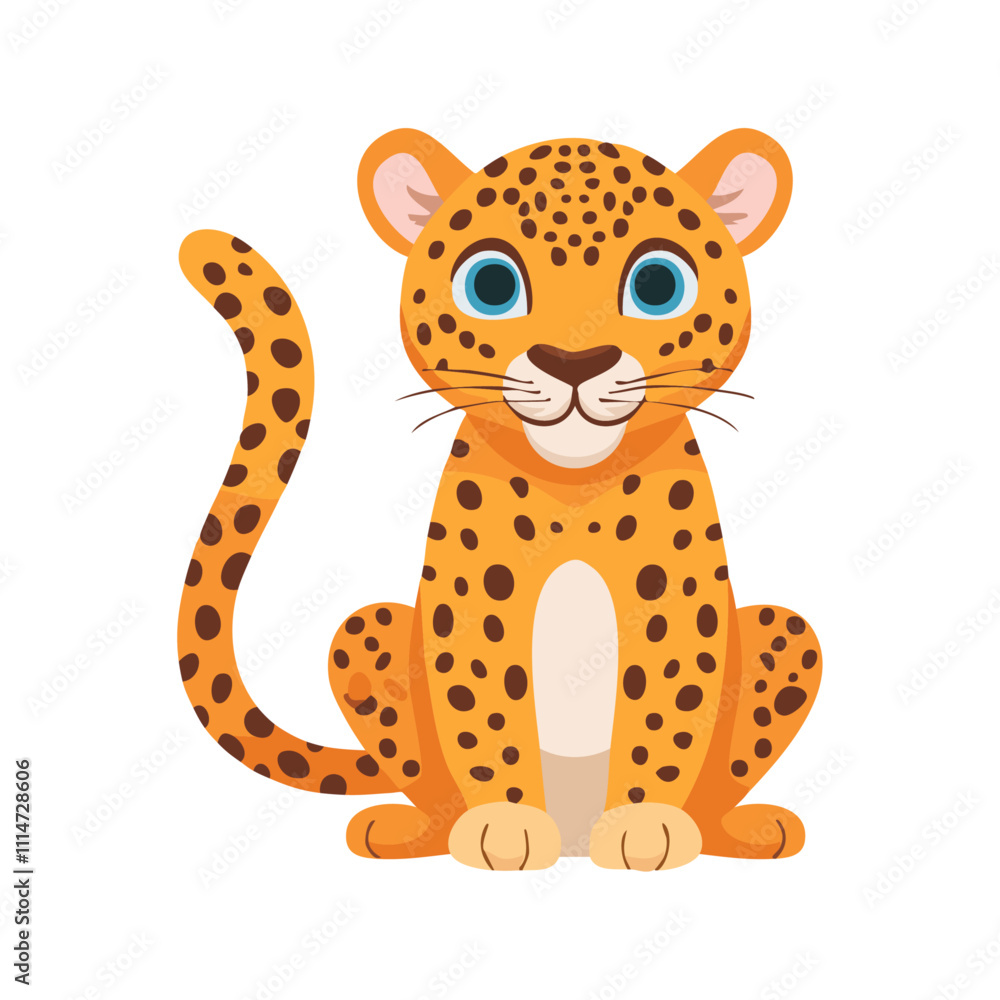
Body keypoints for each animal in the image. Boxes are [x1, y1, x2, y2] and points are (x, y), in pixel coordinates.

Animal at [176, 127, 822, 871]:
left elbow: (666, 710)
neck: (574, 481)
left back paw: (741, 830)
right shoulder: (476, 597)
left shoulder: (673, 600)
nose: (575, 363)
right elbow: (484, 710)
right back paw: (413, 831)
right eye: (491, 285)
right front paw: (505, 825)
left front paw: (644, 823)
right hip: (368, 631)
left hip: (784, 630)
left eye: (658, 284)